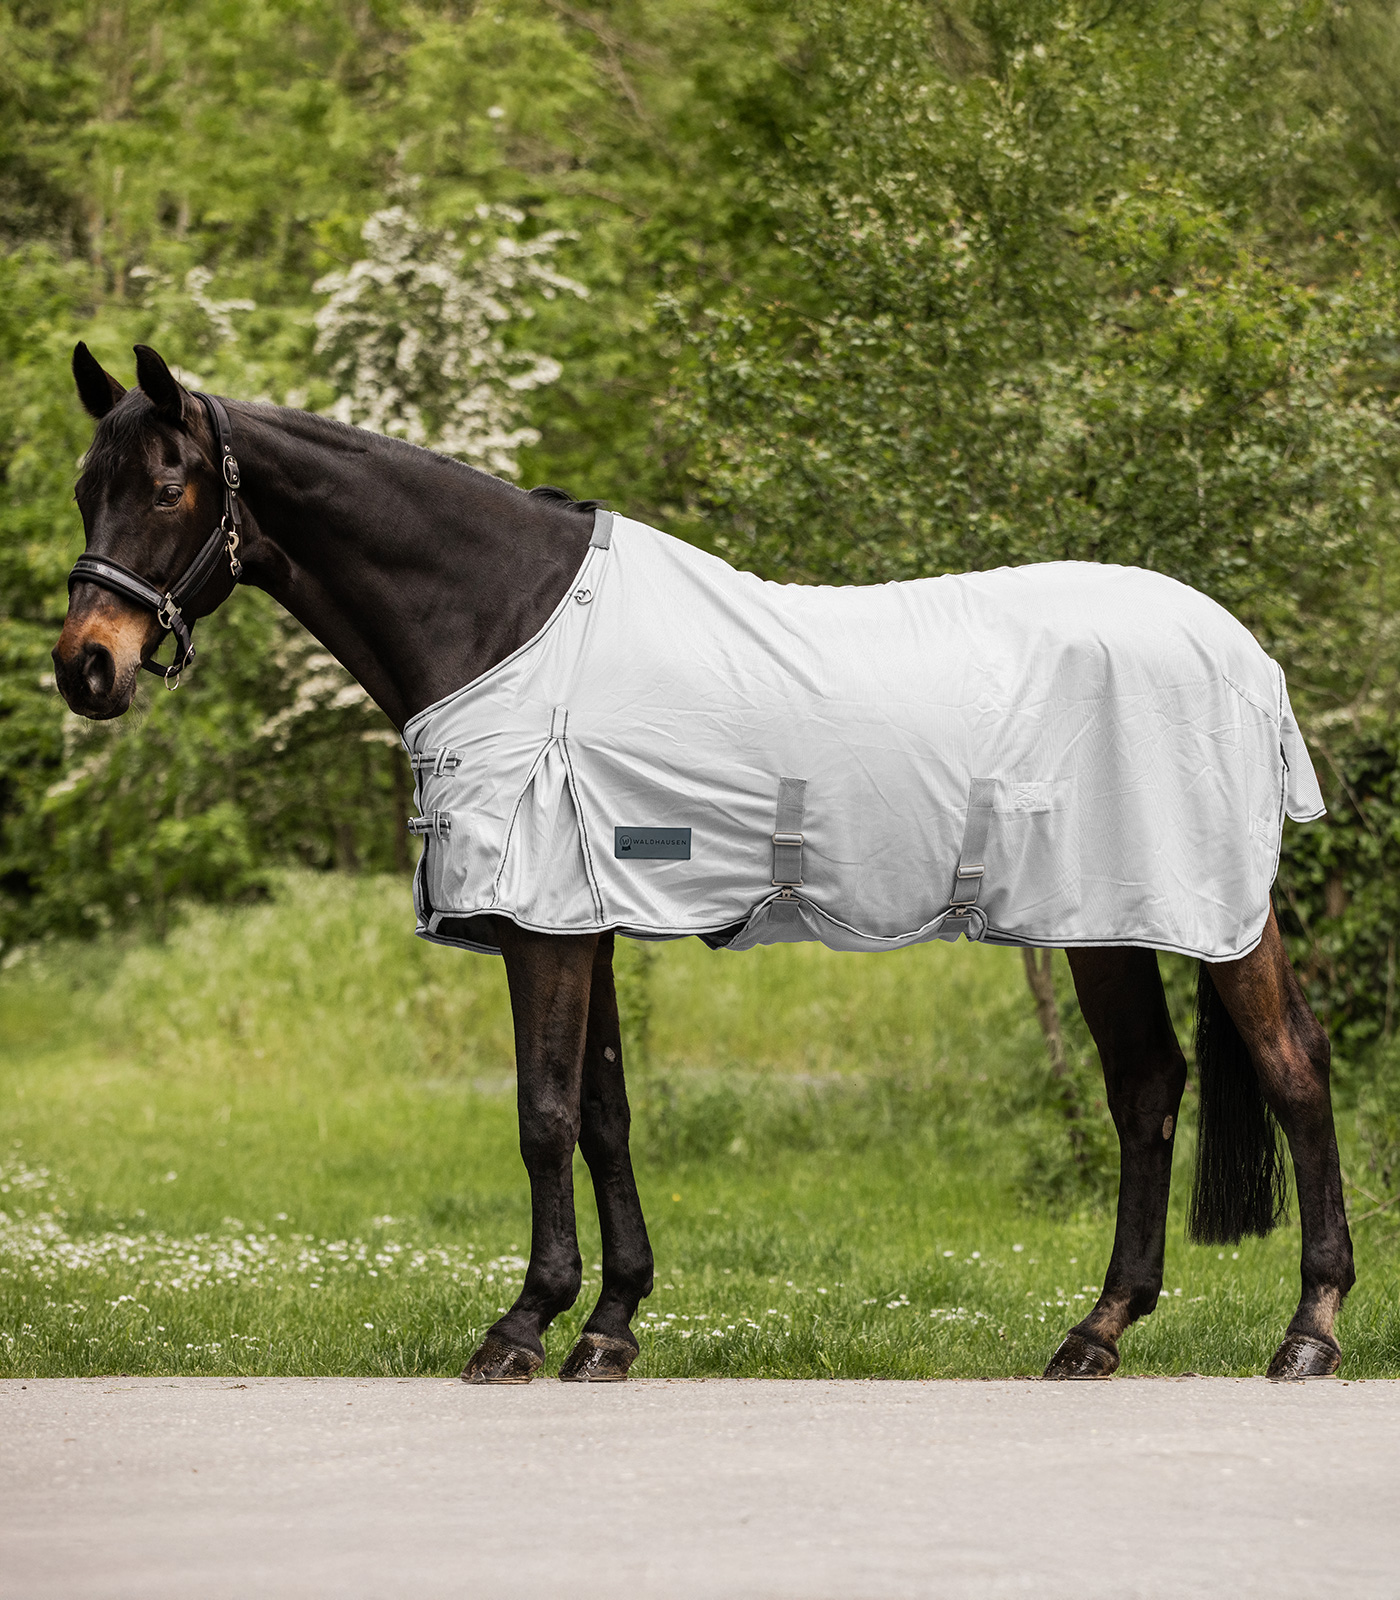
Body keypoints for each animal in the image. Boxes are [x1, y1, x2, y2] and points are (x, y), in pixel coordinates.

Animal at [52, 342, 1355, 1383]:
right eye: (82, 487)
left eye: (167, 486)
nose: (85, 666)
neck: (507, 621)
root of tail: (1240, 651)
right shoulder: (579, 917)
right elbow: (603, 1115)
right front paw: (608, 1326)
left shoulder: (542, 924)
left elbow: (540, 1115)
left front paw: (519, 1328)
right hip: (1100, 919)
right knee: (1145, 1088)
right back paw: (1096, 1331)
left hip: (1207, 911)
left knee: (1289, 1065)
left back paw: (1307, 1330)